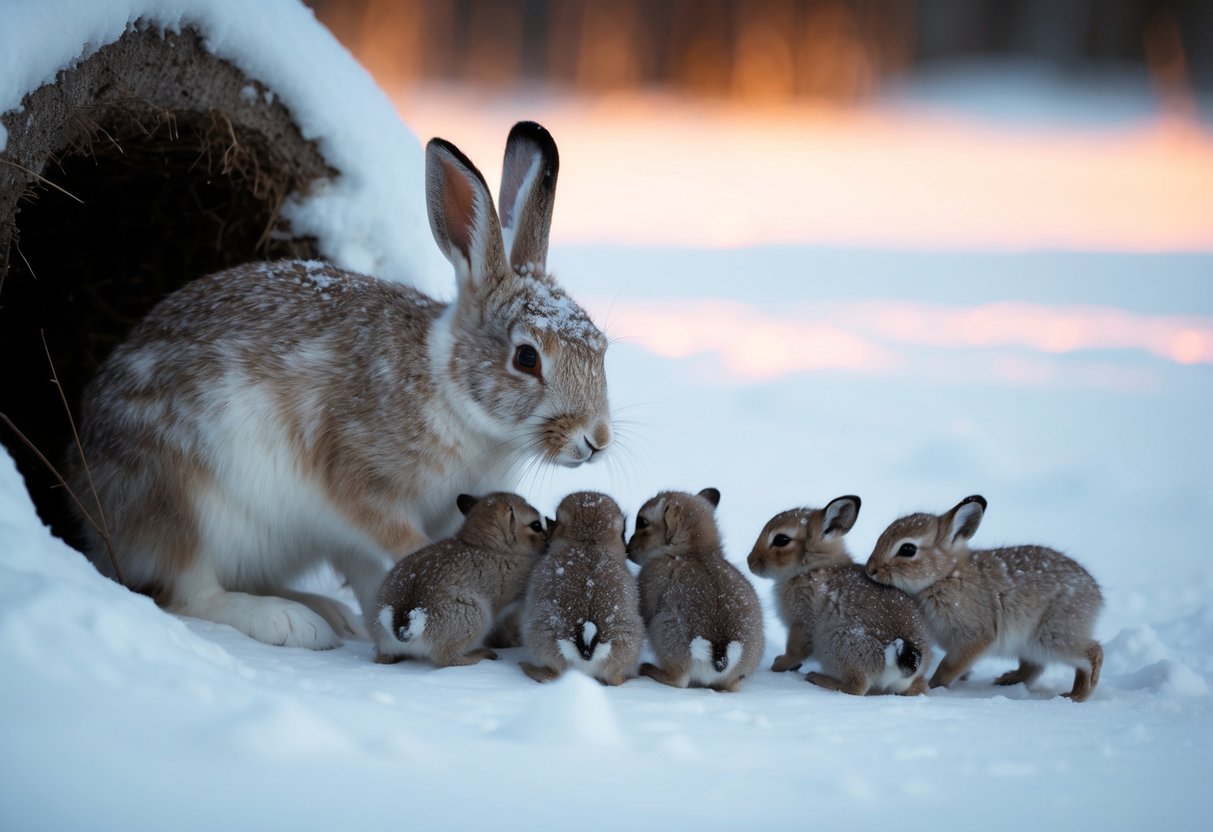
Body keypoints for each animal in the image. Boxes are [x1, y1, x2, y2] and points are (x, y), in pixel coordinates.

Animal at [371, 492, 547, 666]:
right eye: (536, 525)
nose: (547, 539)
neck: (488, 545)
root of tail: (404, 620)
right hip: (475, 616)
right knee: (447, 659)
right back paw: (482, 655)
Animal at [626, 488, 764, 693]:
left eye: (642, 522)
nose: (628, 549)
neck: (693, 552)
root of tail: (721, 651)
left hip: (664, 627)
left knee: (679, 680)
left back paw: (648, 668)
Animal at [747, 496, 931, 696]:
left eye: (781, 539)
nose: (750, 561)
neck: (811, 567)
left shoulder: (803, 619)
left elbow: (796, 649)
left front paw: (780, 664)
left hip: (842, 642)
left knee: (856, 687)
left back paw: (818, 679)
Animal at [865, 495, 1104, 702]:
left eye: (908, 549)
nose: (871, 569)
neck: (944, 576)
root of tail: (1095, 594)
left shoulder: (974, 635)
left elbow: (949, 665)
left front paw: (936, 685)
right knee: (1035, 666)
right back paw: (1009, 680)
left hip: (1052, 635)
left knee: (1092, 653)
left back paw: (1078, 695)